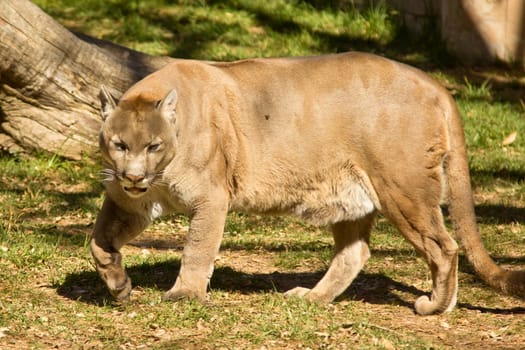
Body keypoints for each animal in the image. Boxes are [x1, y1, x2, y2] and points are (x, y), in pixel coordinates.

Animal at [92, 51, 520, 314]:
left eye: (153, 145)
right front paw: (118, 285)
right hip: (355, 197)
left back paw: (434, 306)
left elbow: (197, 249)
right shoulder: (129, 201)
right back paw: (312, 298)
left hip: (402, 189)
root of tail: (433, 83)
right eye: (119, 144)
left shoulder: (210, 198)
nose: (133, 175)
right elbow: (99, 240)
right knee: (355, 254)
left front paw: (184, 295)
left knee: (444, 247)